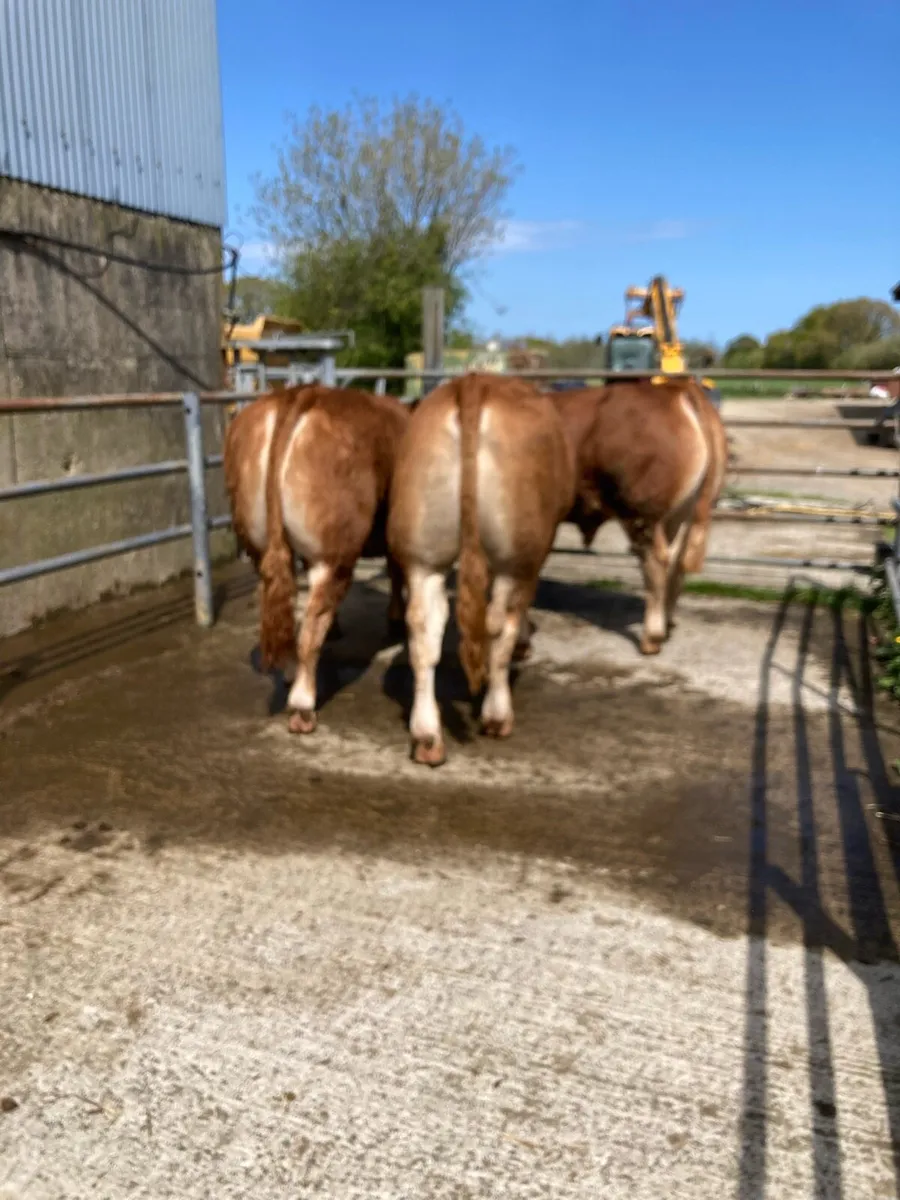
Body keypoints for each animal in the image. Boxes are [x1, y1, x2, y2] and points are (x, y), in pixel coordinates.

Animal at [223, 384, 409, 733]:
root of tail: (300, 393)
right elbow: (396, 574)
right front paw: (395, 619)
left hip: (260, 544)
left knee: (283, 605)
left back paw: (288, 672)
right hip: (333, 555)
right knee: (311, 627)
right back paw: (302, 704)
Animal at [387, 373, 575, 767]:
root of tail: (474, 382)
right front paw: (524, 643)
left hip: (422, 555)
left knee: (424, 631)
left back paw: (427, 736)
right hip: (516, 555)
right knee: (498, 625)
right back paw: (497, 714)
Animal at [548, 379, 727, 656]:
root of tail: (677, 390)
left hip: (642, 513)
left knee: (656, 562)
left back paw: (651, 638)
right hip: (680, 514)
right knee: (677, 561)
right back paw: (667, 621)